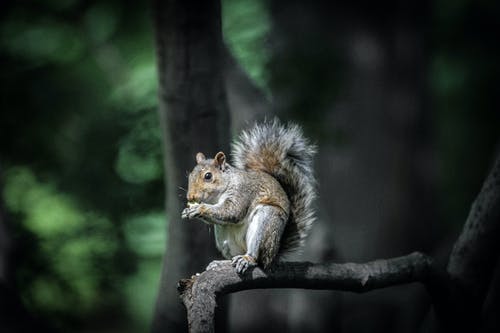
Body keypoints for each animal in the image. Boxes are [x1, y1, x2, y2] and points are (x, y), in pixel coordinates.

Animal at [182, 119, 316, 272]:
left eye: (208, 176)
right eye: (190, 175)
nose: (190, 197)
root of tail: (273, 256)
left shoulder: (243, 191)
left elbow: (233, 211)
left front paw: (199, 208)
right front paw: (187, 210)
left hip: (266, 222)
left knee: (258, 258)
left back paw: (248, 258)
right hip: (223, 236)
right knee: (232, 255)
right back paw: (222, 263)